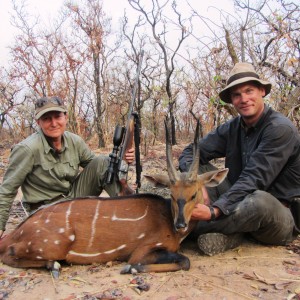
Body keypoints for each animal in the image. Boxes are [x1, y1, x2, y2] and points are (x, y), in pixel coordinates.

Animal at [0, 120, 227, 276]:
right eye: (171, 194)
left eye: (194, 194)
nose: (180, 224)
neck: (168, 222)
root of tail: (14, 233)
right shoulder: (142, 250)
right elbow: (183, 261)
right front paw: (130, 269)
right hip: (52, 245)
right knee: (8, 255)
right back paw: (53, 265)